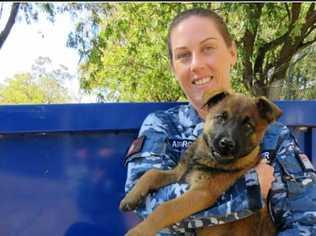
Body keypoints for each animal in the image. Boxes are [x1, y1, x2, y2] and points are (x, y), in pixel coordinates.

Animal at [119, 89, 282, 235]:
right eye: (221, 117)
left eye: (248, 126)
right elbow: (151, 173)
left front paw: (137, 232)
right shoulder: (179, 173)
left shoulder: (203, 192)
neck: (205, 158)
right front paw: (131, 197)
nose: (226, 144)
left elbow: (165, 208)